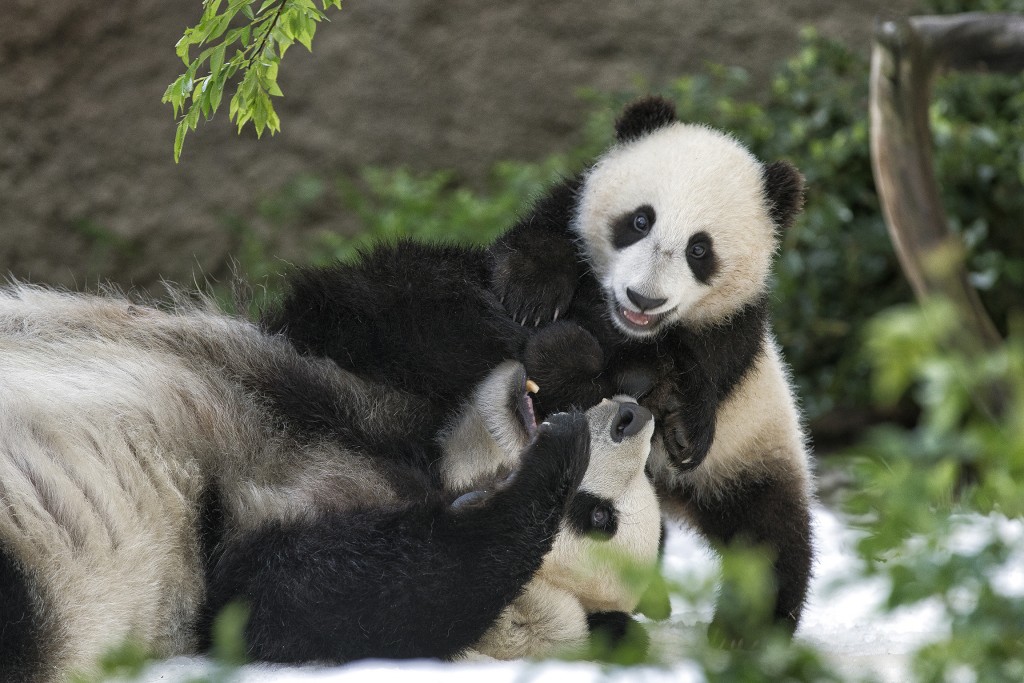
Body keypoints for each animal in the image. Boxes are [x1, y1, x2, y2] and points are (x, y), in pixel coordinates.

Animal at [0, 284, 593, 679]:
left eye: (590, 513)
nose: (614, 417)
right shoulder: (342, 384)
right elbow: (361, 315)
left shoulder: (218, 561)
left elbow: (292, 600)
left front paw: (548, 468)